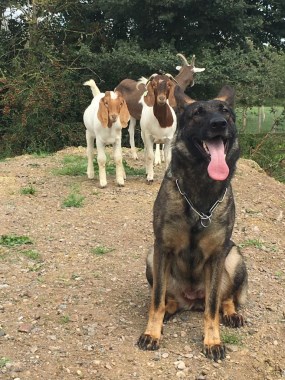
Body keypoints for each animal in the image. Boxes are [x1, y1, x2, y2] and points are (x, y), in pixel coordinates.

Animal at [137, 84, 246, 360]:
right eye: (197, 113)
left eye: (225, 111)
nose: (219, 124)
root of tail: (191, 299)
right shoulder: (162, 248)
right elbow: (156, 300)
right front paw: (152, 333)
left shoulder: (218, 255)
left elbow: (212, 307)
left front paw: (213, 340)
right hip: (151, 258)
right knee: (167, 298)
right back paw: (169, 309)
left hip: (235, 258)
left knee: (224, 298)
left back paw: (231, 313)